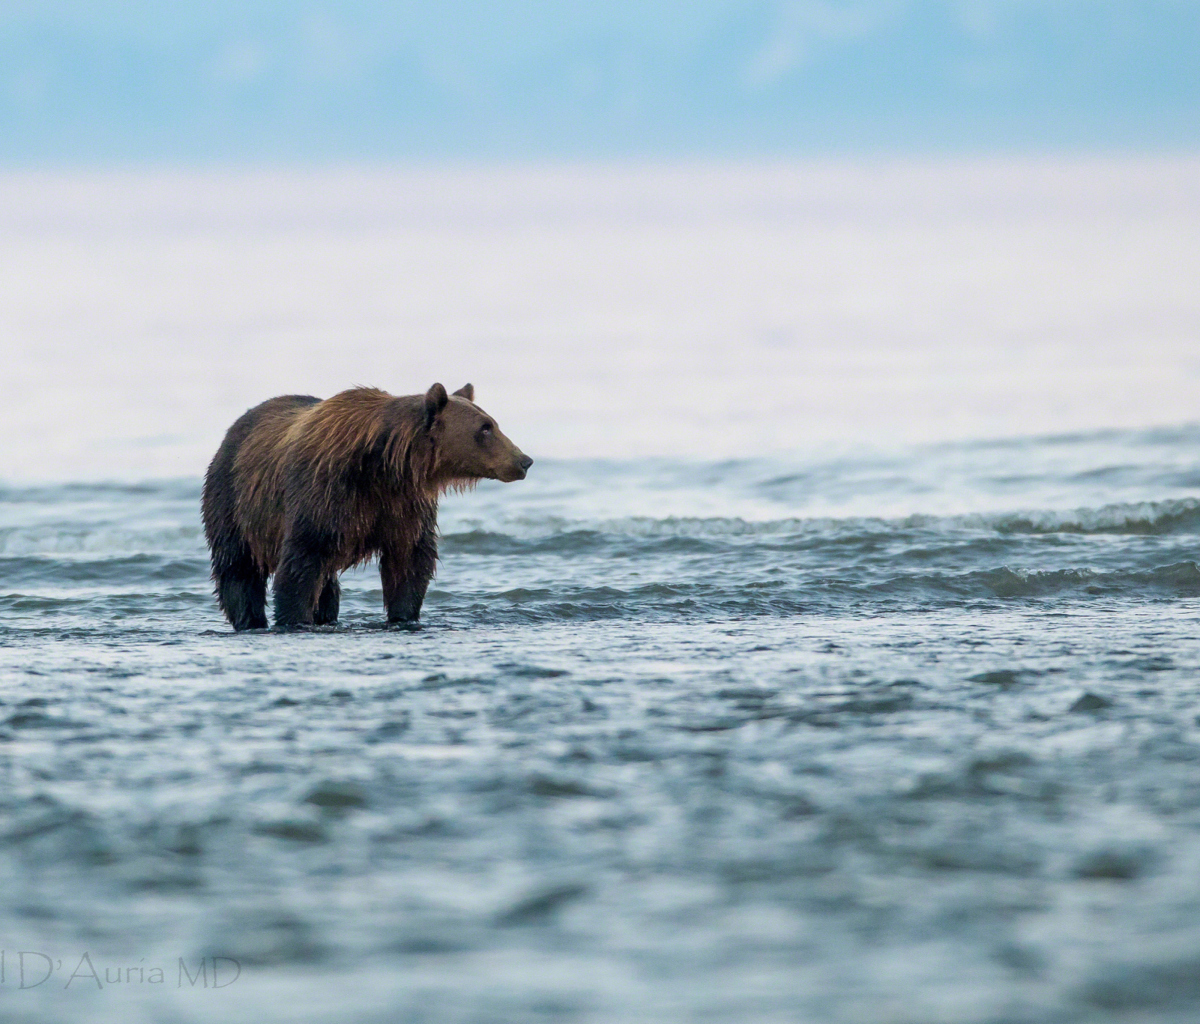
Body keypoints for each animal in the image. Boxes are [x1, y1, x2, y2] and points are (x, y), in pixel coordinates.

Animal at [201, 379, 530, 629]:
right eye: (485, 428)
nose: (524, 460)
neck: (384, 464)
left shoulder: (404, 504)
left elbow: (409, 561)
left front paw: (403, 616)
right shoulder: (325, 494)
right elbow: (300, 563)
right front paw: (294, 618)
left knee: (327, 584)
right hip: (231, 498)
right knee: (237, 567)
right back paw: (250, 619)